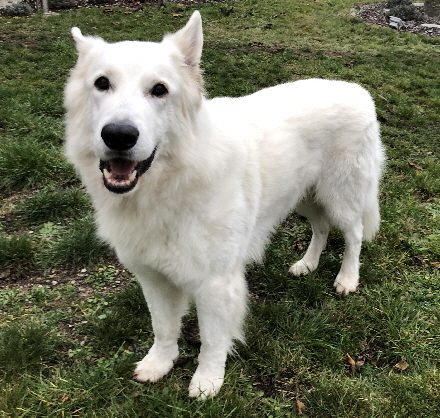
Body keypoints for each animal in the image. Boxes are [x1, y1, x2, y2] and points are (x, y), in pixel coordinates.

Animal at [65, 10, 384, 398]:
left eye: (159, 90)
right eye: (102, 83)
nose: (119, 136)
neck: (173, 182)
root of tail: (357, 90)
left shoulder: (215, 284)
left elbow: (212, 340)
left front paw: (207, 381)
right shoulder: (153, 277)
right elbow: (163, 328)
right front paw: (160, 364)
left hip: (341, 196)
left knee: (353, 235)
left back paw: (347, 278)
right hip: (303, 197)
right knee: (321, 228)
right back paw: (307, 265)